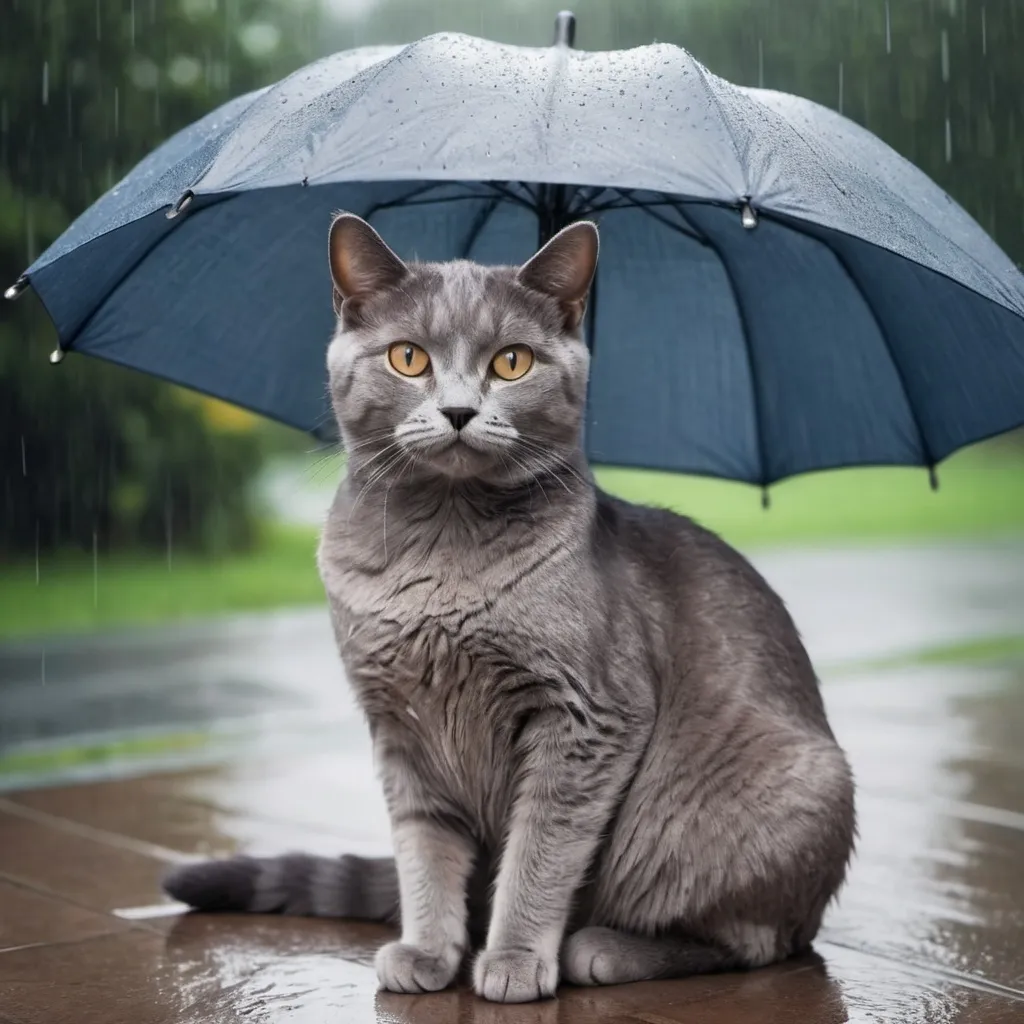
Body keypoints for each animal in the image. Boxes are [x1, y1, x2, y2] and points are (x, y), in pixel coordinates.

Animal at [165, 211, 856, 1003]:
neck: (440, 556)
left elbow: (540, 850)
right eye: (408, 358)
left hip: (770, 802)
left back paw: (601, 948)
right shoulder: (400, 728)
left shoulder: (588, 718)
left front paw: (515, 958)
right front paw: (429, 949)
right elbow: (423, 849)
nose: (460, 410)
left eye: (513, 362)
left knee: (752, 940)